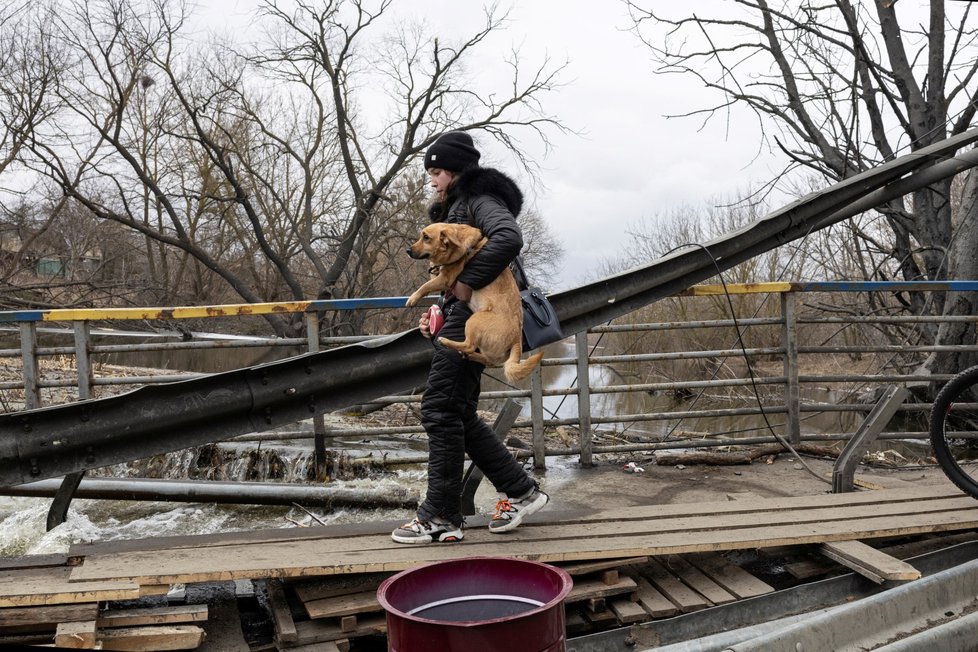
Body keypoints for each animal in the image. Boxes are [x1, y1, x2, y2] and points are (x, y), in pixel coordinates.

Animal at [404, 223, 540, 382]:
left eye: (426, 237)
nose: (408, 250)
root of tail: (516, 339)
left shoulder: (445, 279)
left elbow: (425, 286)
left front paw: (413, 298)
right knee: (487, 360)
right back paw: (470, 355)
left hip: (473, 320)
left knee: (469, 345)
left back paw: (447, 342)